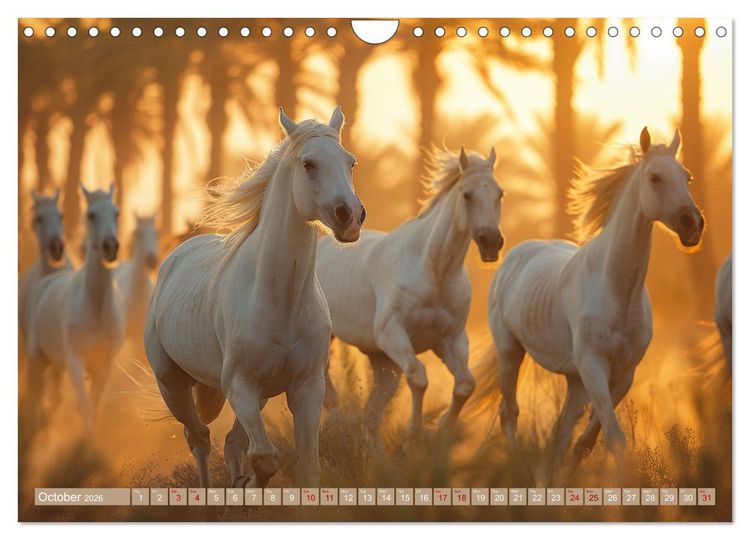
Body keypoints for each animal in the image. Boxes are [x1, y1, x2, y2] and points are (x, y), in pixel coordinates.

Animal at [27, 184, 124, 431]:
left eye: (116, 212)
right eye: (91, 215)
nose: (111, 247)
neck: (94, 308)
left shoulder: (103, 365)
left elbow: (93, 407)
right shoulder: (75, 362)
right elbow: (84, 408)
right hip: (36, 357)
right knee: (35, 394)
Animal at [144, 107, 365, 489]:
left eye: (349, 162)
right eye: (308, 164)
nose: (350, 216)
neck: (282, 299)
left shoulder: (307, 387)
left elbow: (306, 467)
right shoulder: (241, 387)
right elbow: (264, 459)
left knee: (231, 443)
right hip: (172, 384)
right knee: (199, 439)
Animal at [316, 146, 504, 439]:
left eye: (499, 194)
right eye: (467, 194)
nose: (491, 243)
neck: (435, 271)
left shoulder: (450, 340)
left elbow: (465, 384)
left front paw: (442, 429)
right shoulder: (392, 333)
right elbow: (419, 377)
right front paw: (414, 432)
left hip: (382, 362)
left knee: (371, 416)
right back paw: (334, 412)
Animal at [487, 127, 704, 471]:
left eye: (688, 177)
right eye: (655, 177)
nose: (693, 225)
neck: (617, 292)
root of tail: (513, 257)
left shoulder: (624, 373)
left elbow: (588, 439)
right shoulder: (593, 366)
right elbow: (614, 437)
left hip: (574, 379)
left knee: (560, 430)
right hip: (510, 353)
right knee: (509, 413)